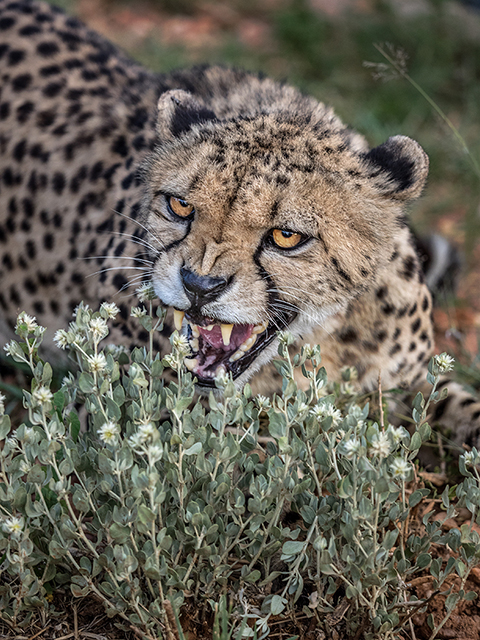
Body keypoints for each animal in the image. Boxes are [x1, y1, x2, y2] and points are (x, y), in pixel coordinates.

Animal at [0, 0, 480, 450]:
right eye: (180, 205)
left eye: (286, 235)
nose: (199, 286)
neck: (319, 341)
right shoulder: (127, 410)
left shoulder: (410, 382)